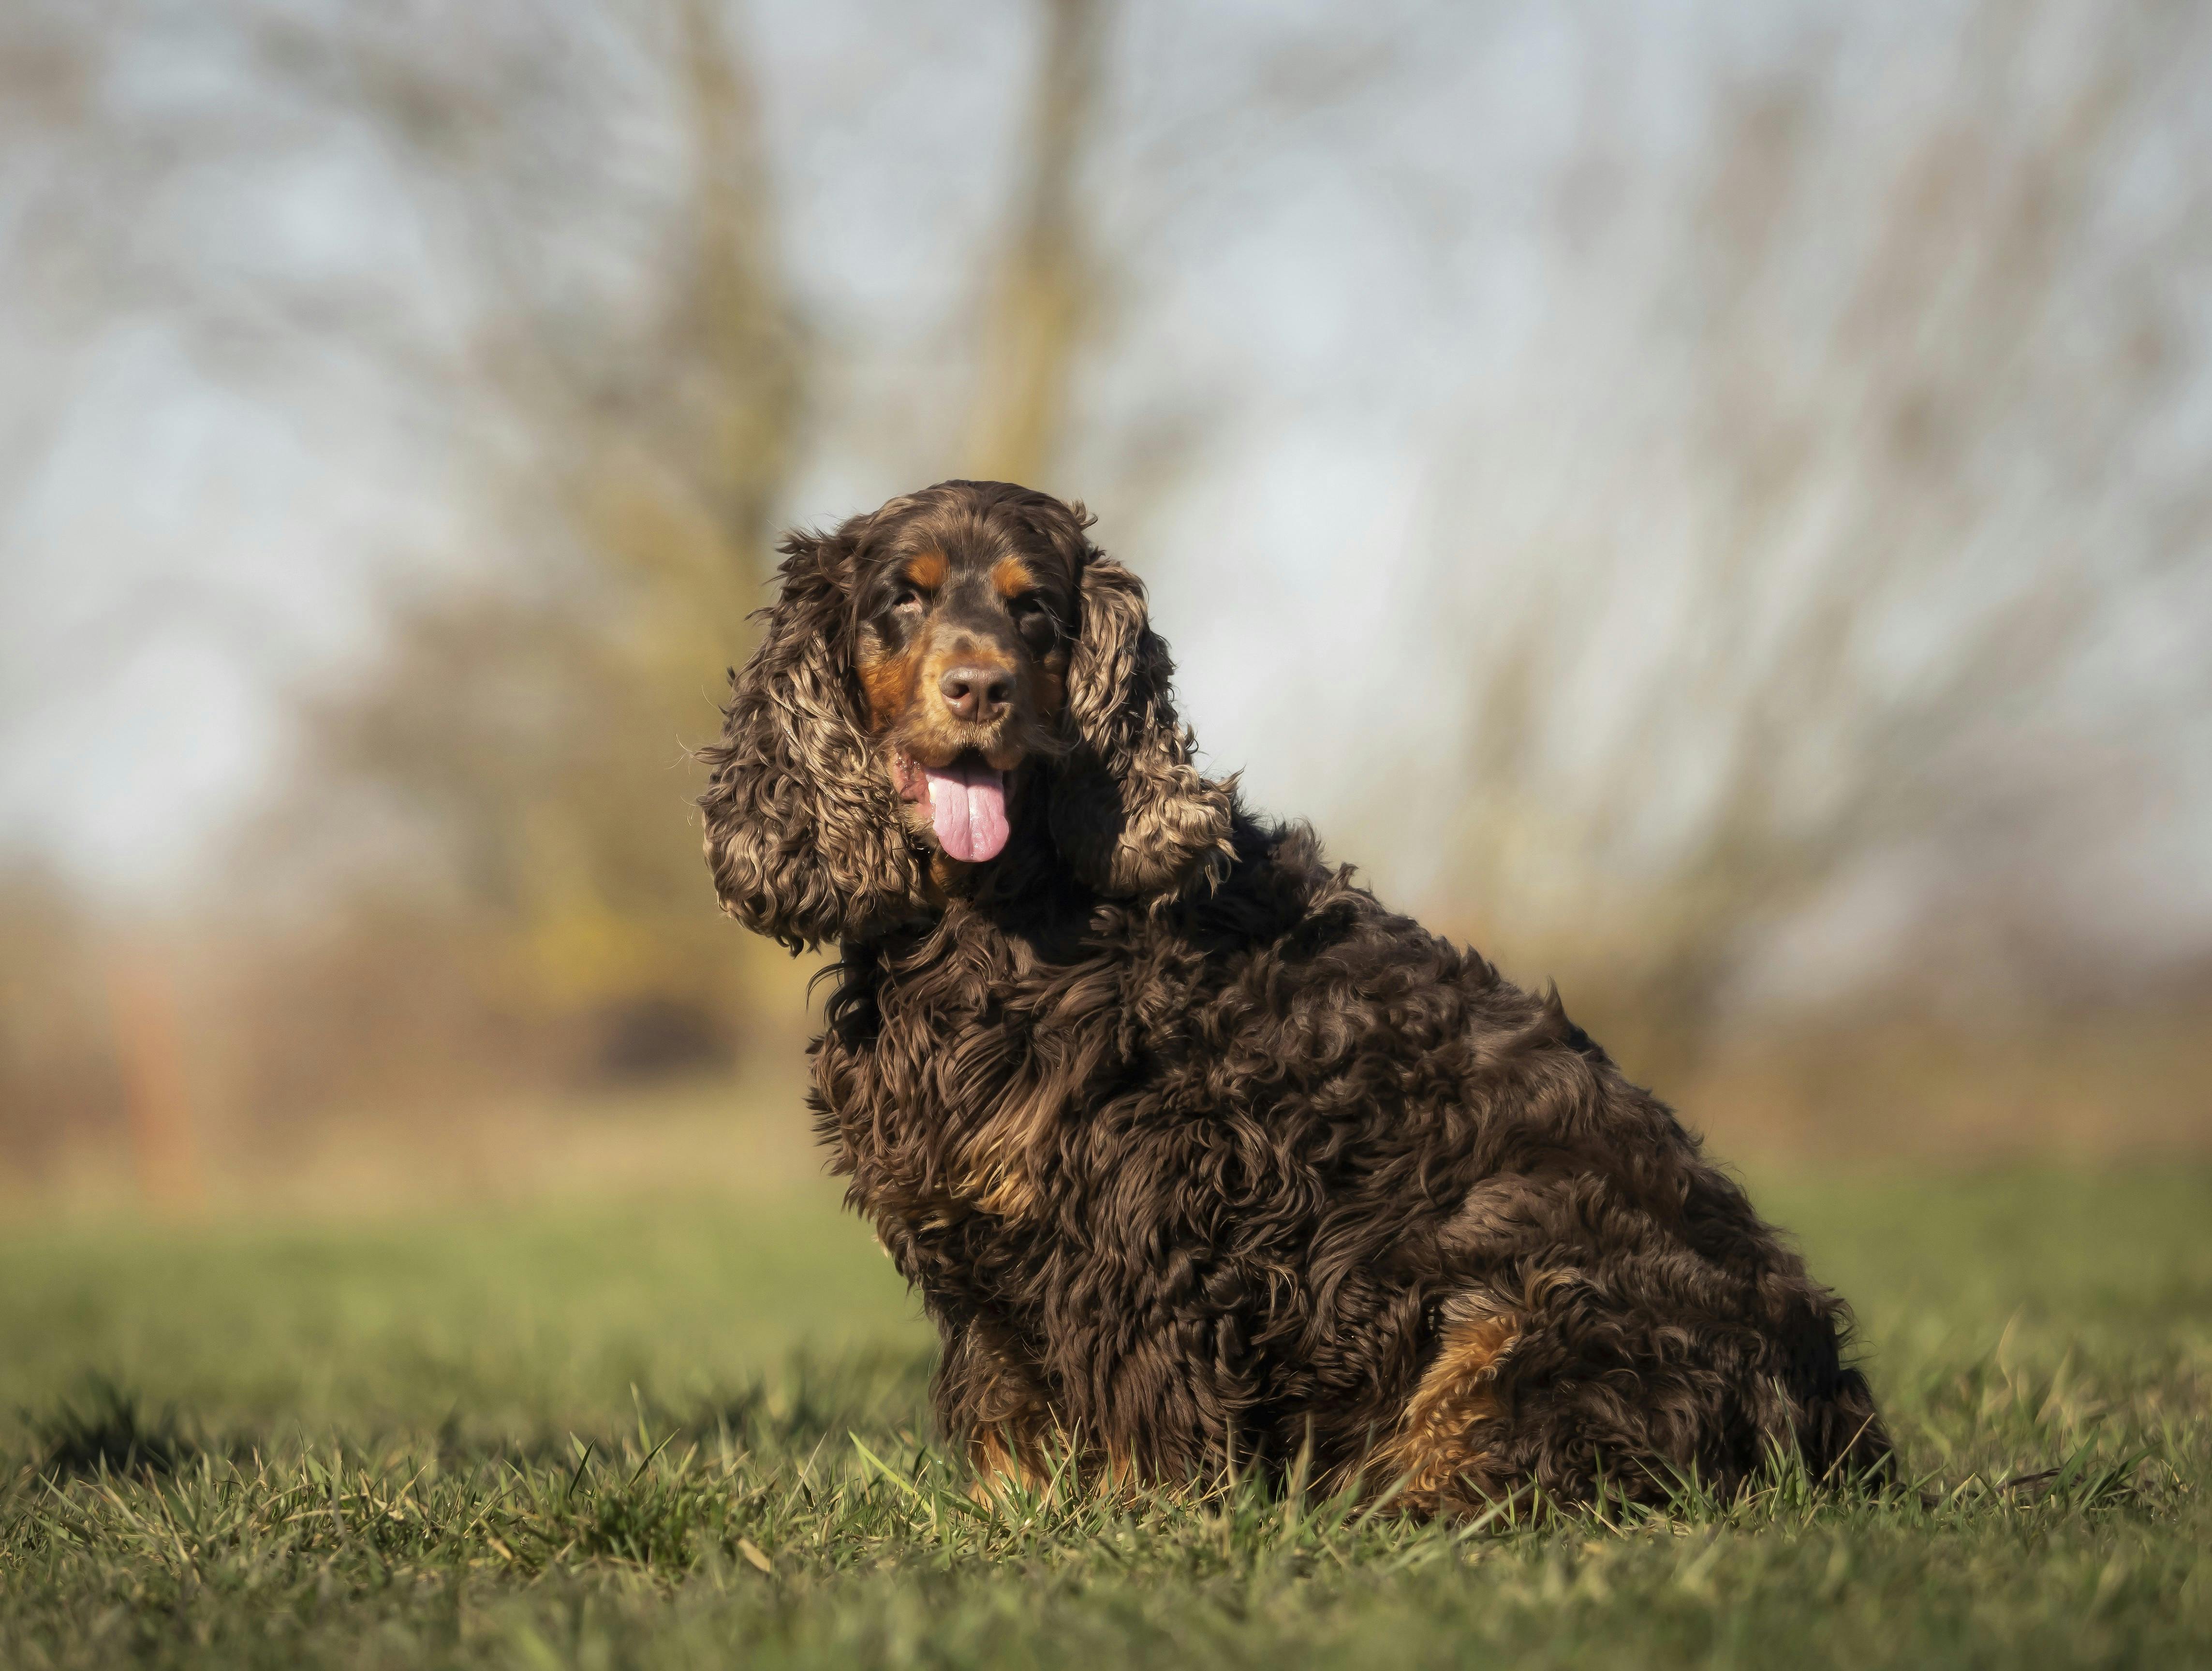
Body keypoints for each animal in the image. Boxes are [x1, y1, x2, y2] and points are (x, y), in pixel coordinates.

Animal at [699, 477, 1893, 1511]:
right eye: (901, 598)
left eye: (1034, 609)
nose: (980, 688)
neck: (990, 920)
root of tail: (1837, 1413)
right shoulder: (980, 1239)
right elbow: (1005, 1402)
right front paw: (1017, 1518)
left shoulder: (1145, 1215)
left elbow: (1139, 1403)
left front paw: (1132, 1521)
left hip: (1529, 1296)